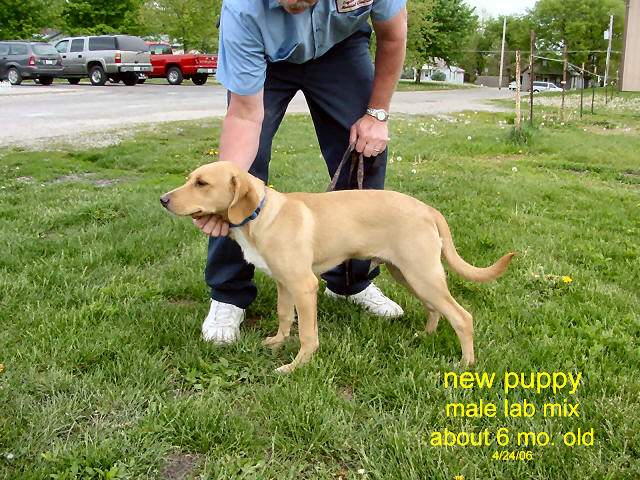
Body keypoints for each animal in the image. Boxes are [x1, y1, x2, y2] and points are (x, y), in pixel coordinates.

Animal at [161, 162, 514, 374]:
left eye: (202, 183)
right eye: (190, 179)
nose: (163, 199)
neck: (261, 214)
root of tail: (428, 209)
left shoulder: (304, 286)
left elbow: (307, 334)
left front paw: (296, 367)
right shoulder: (284, 283)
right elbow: (284, 316)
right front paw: (276, 342)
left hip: (421, 273)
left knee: (462, 317)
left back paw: (466, 365)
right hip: (409, 274)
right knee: (436, 309)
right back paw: (425, 336)